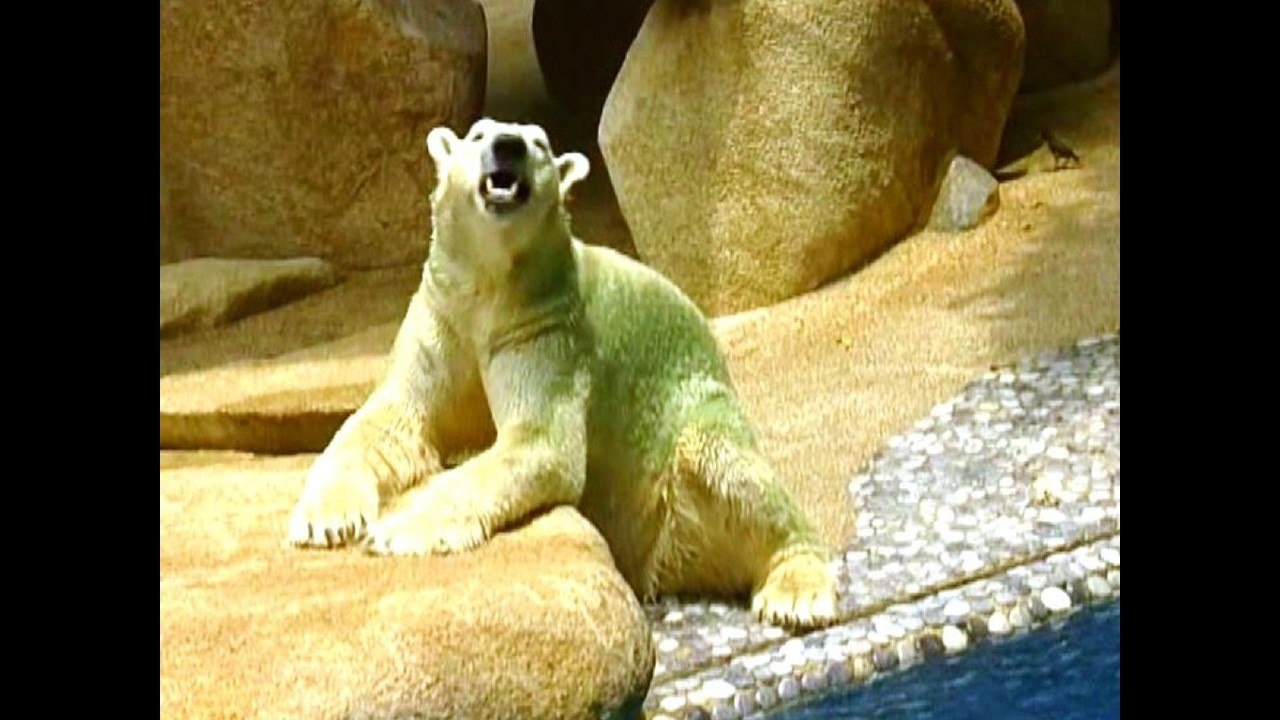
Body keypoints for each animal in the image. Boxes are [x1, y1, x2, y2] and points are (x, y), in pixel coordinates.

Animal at [287, 118, 839, 629]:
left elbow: (540, 441)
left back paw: (797, 591)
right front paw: (324, 521)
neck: (492, 292)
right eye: (478, 134)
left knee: (728, 466)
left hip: (693, 416)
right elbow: (391, 419)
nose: (507, 145)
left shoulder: (548, 331)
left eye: (540, 142)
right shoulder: (442, 318)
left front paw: (398, 528)